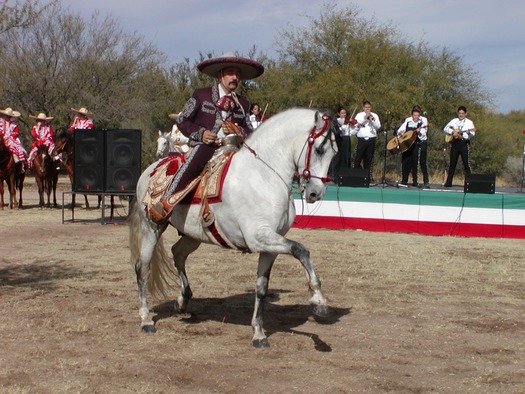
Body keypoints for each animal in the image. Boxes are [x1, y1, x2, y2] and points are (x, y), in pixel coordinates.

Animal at [129, 107, 338, 348]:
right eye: (320, 149)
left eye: (334, 152)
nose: (316, 193)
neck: (262, 177)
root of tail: (151, 170)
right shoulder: (258, 238)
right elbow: (301, 250)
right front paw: (318, 301)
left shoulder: (270, 245)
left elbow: (262, 287)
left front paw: (259, 332)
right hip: (151, 228)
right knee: (143, 268)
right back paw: (146, 319)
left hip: (193, 235)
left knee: (178, 253)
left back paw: (183, 301)